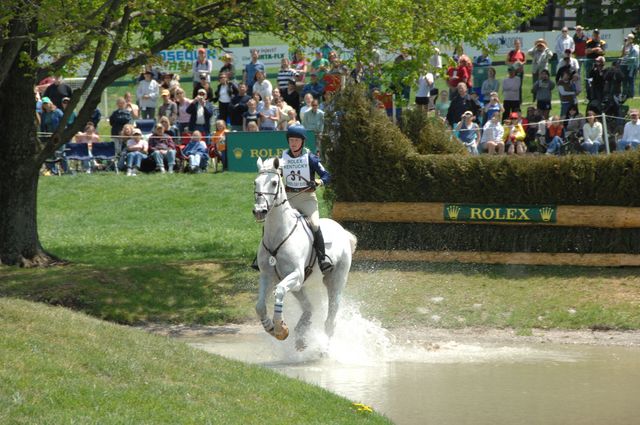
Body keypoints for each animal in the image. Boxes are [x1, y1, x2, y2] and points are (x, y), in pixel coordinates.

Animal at [252, 157, 358, 350]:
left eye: (274, 183)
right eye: (255, 182)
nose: (259, 211)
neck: (278, 235)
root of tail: (343, 232)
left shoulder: (296, 274)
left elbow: (279, 291)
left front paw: (280, 328)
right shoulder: (267, 275)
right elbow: (260, 306)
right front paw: (271, 328)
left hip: (335, 280)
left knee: (330, 319)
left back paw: (323, 348)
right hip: (300, 287)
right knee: (309, 308)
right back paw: (301, 335)